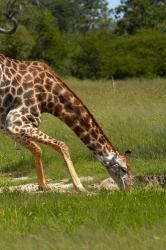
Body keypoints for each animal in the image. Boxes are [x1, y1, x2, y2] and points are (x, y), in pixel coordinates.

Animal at [0, 54, 132, 191]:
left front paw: (43, 186)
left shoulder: (7, 126)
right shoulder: (15, 122)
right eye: (124, 169)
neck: (49, 97)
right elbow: (62, 145)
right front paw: (80, 187)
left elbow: (37, 149)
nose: (130, 188)